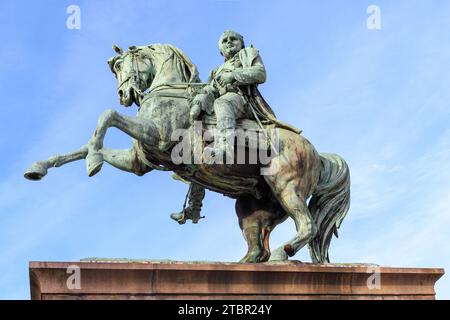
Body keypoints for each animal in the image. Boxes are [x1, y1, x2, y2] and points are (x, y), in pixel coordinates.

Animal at [22, 43, 350, 264]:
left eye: (122, 65)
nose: (124, 95)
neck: (170, 91)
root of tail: (318, 155)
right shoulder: (139, 161)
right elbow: (89, 144)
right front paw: (41, 166)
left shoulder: (157, 135)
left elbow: (107, 116)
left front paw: (92, 162)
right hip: (253, 209)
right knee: (258, 248)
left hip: (287, 188)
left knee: (306, 226)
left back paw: (284, 253)